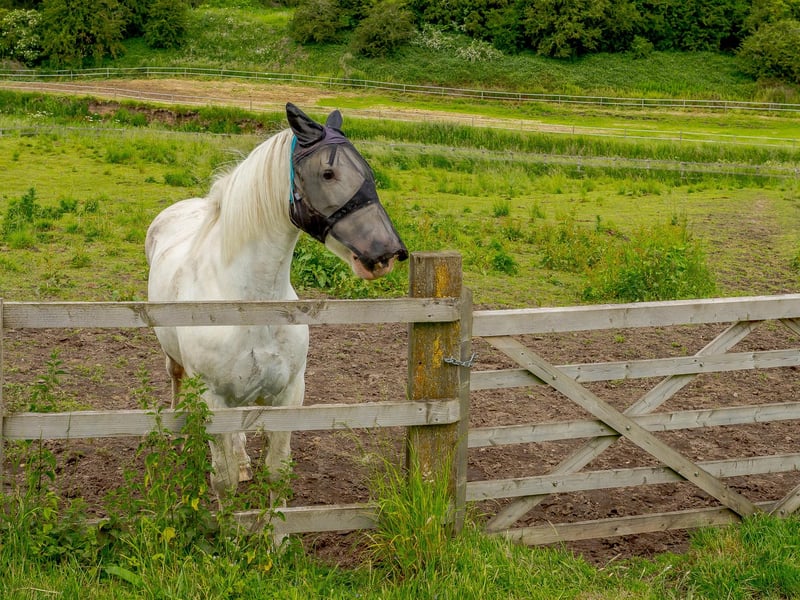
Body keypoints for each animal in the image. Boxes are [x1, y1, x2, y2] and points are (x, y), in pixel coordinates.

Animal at [145, 103, 408, 498]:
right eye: (328, 173)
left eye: (368, 173)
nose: (387, 252)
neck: (252, 305)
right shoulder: (213, 400)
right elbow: (222, 480)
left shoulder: (289, 395)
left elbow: (276, 472)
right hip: (176, 362)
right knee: (175, 380)